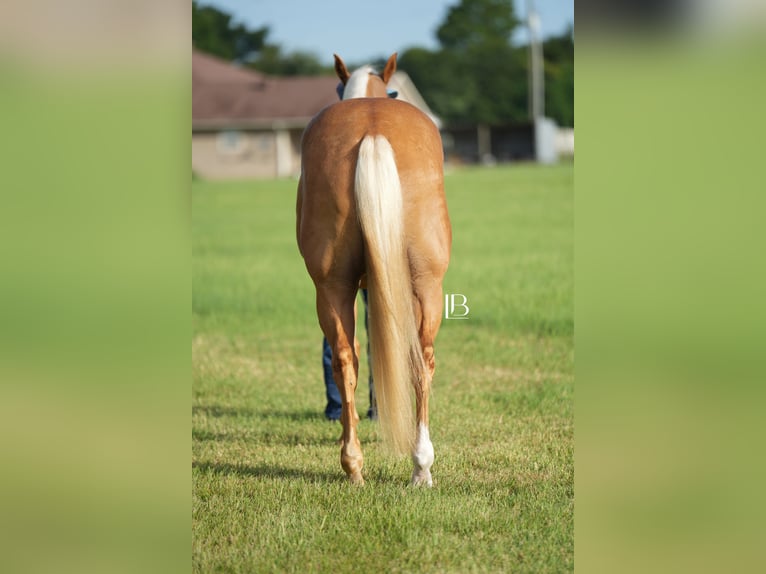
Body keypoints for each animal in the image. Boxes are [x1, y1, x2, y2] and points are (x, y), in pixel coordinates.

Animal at [296, 53, 451, 486]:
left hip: (334, 286)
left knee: (348, 358)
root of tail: (372, 131)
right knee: (419, 361)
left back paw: (360, 464)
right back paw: (417, 466)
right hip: (424, 286)